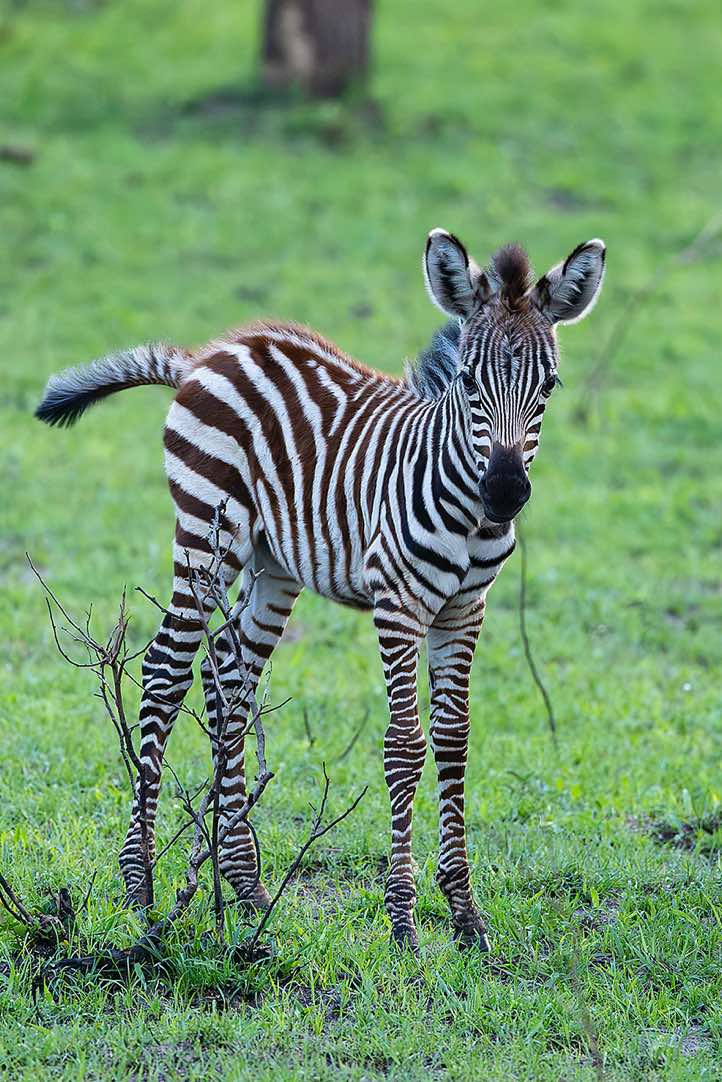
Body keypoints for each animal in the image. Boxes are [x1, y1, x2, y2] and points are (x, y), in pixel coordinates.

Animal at [36, 229, 605, 951]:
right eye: (470, 382)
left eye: (549, 385)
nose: (505, 494)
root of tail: (210, 354)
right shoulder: (399, 604)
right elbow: (405, 746)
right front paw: (403, 920)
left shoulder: (463, 610)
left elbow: (453, 740)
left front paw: (466, 915)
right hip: (205, 537)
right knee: (166, 671)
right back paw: (140, 887)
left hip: (273, 565)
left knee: (229, 679)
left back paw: (244, 884)